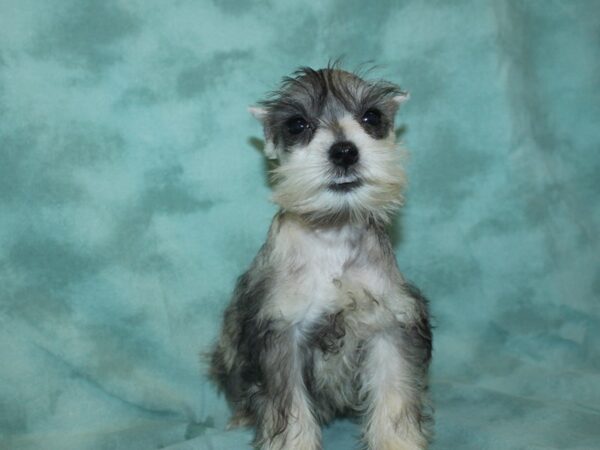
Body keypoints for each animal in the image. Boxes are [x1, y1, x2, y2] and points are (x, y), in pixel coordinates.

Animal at [211, 64, 432, 450]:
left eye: (371, 116)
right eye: (297, 124)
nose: (344, 151)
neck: (333, 234)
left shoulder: (391, 324)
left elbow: (394, 396)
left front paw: (397, 442)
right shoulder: (281, 333)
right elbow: (290, 410)